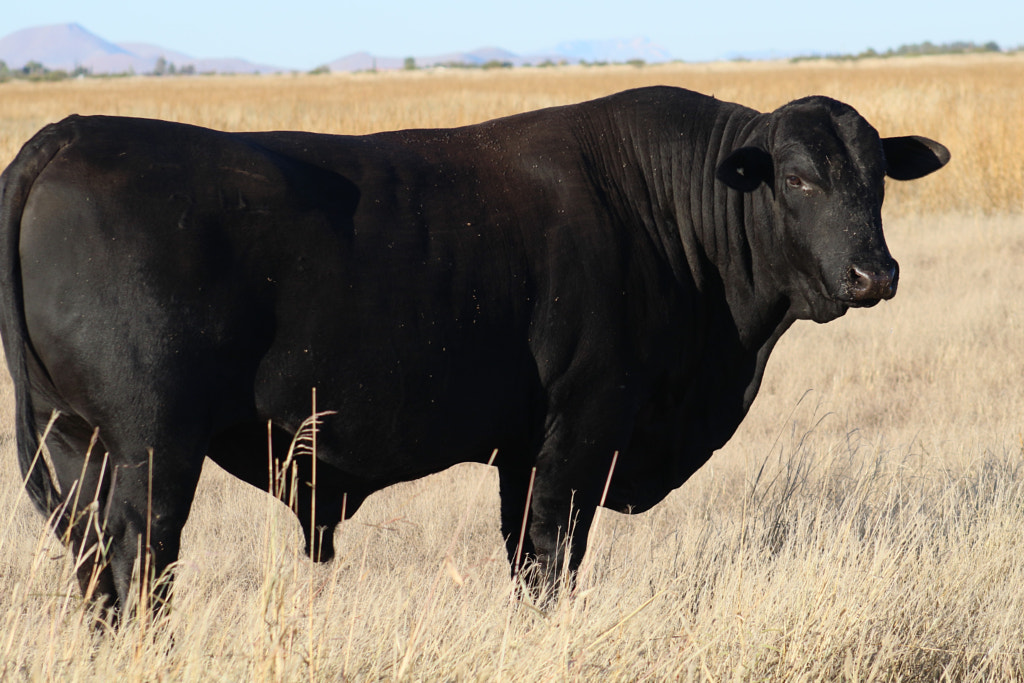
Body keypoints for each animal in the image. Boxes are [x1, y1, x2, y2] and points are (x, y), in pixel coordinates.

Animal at [0, 85, 946, 614]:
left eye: (878, 178)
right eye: (798, 178)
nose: (875, 271)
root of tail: (71, 133)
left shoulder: (522, 450)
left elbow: (525, 554)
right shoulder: (581, 428)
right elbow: (550, 558)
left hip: (71, 439)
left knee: (95, 564)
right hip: (153, 445)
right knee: (138, 559)